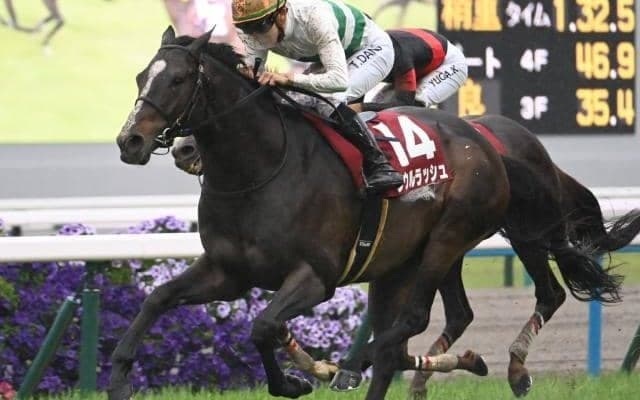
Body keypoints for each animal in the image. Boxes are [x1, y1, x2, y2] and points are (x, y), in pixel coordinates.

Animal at [113, 27, 511, 400]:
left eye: (178, 79)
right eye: (140, 76)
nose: (129, 141)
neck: (259, 170)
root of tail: (479, 138)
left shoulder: (317, 277)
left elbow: (263, 326)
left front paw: (293, 381)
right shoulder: (228, 272)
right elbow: (158, 297)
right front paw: (119, 375)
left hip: (447, 239)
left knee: (412, 321)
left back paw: (347, 366)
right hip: (402, 260)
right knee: (417, 333)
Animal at [171, 114, 640, 398]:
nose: (183, 149)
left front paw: (332, 367)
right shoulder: (384, 261)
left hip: (506, 233)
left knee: (548, 294)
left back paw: (515, 370)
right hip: (453, 246)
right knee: (459, 313)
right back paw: (425, 374)